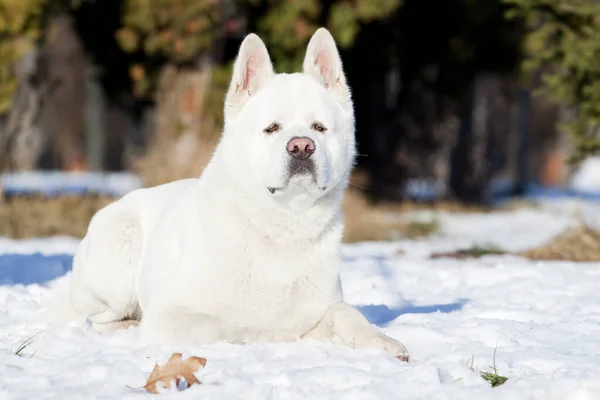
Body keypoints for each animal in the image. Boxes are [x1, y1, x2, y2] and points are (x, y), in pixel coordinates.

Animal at [52, 26, 408, 360]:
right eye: (272, 128)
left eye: (319, 128)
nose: (302, 147)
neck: (282, 226)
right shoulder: (170, 315)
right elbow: (221, 326)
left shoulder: (318, 311)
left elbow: (347, 314)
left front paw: (383, 341)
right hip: (119, 256)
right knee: (100, 318)